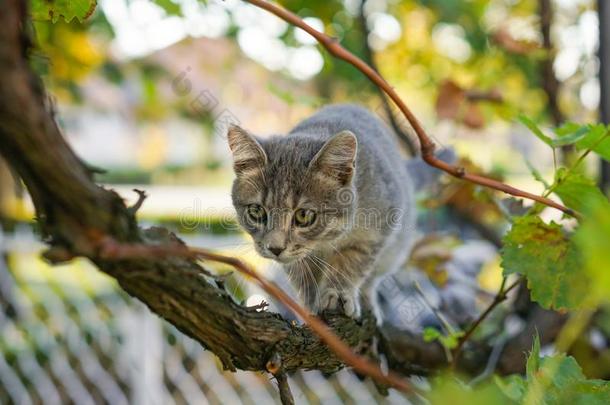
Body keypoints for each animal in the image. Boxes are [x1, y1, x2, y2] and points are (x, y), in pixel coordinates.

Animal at [226, 104, 416, 322]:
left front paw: (337, 292)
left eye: (303, 215)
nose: (275, 248)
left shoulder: (375, 233)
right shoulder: (297, 259)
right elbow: (303, 274)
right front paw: (310, 306)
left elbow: (351, 263)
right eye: (256, 211)